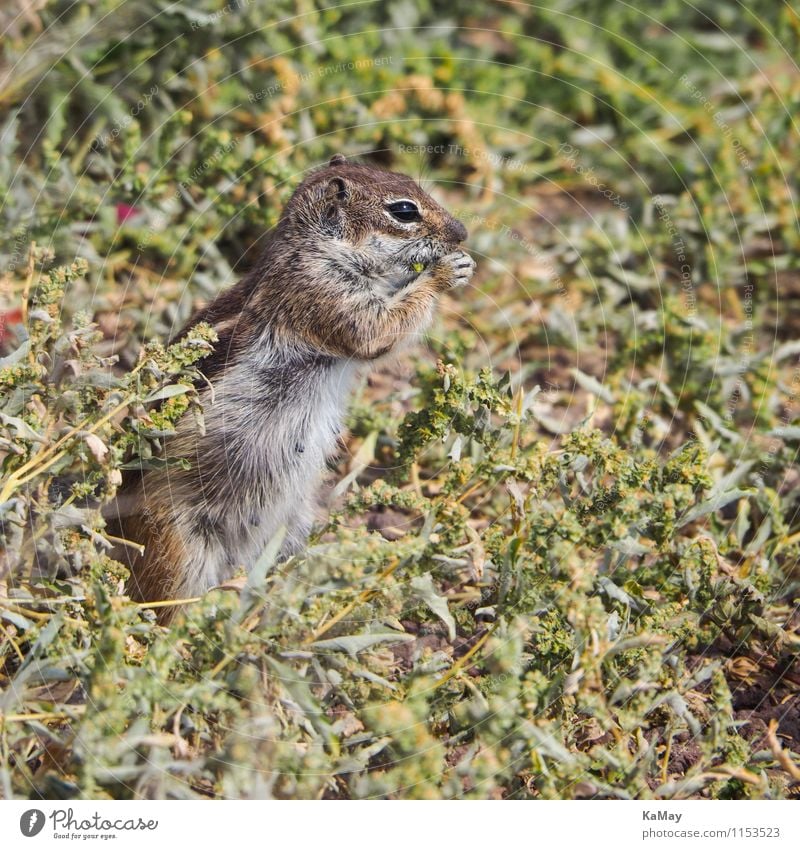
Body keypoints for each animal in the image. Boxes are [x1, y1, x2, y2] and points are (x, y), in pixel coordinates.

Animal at [106, 154, 472, 616]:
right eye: (404, 210)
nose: (462, 231)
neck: (313, 247)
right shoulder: (323, 293)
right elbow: (378, 328)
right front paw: (448, 270)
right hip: (178, 549)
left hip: (293, 527)